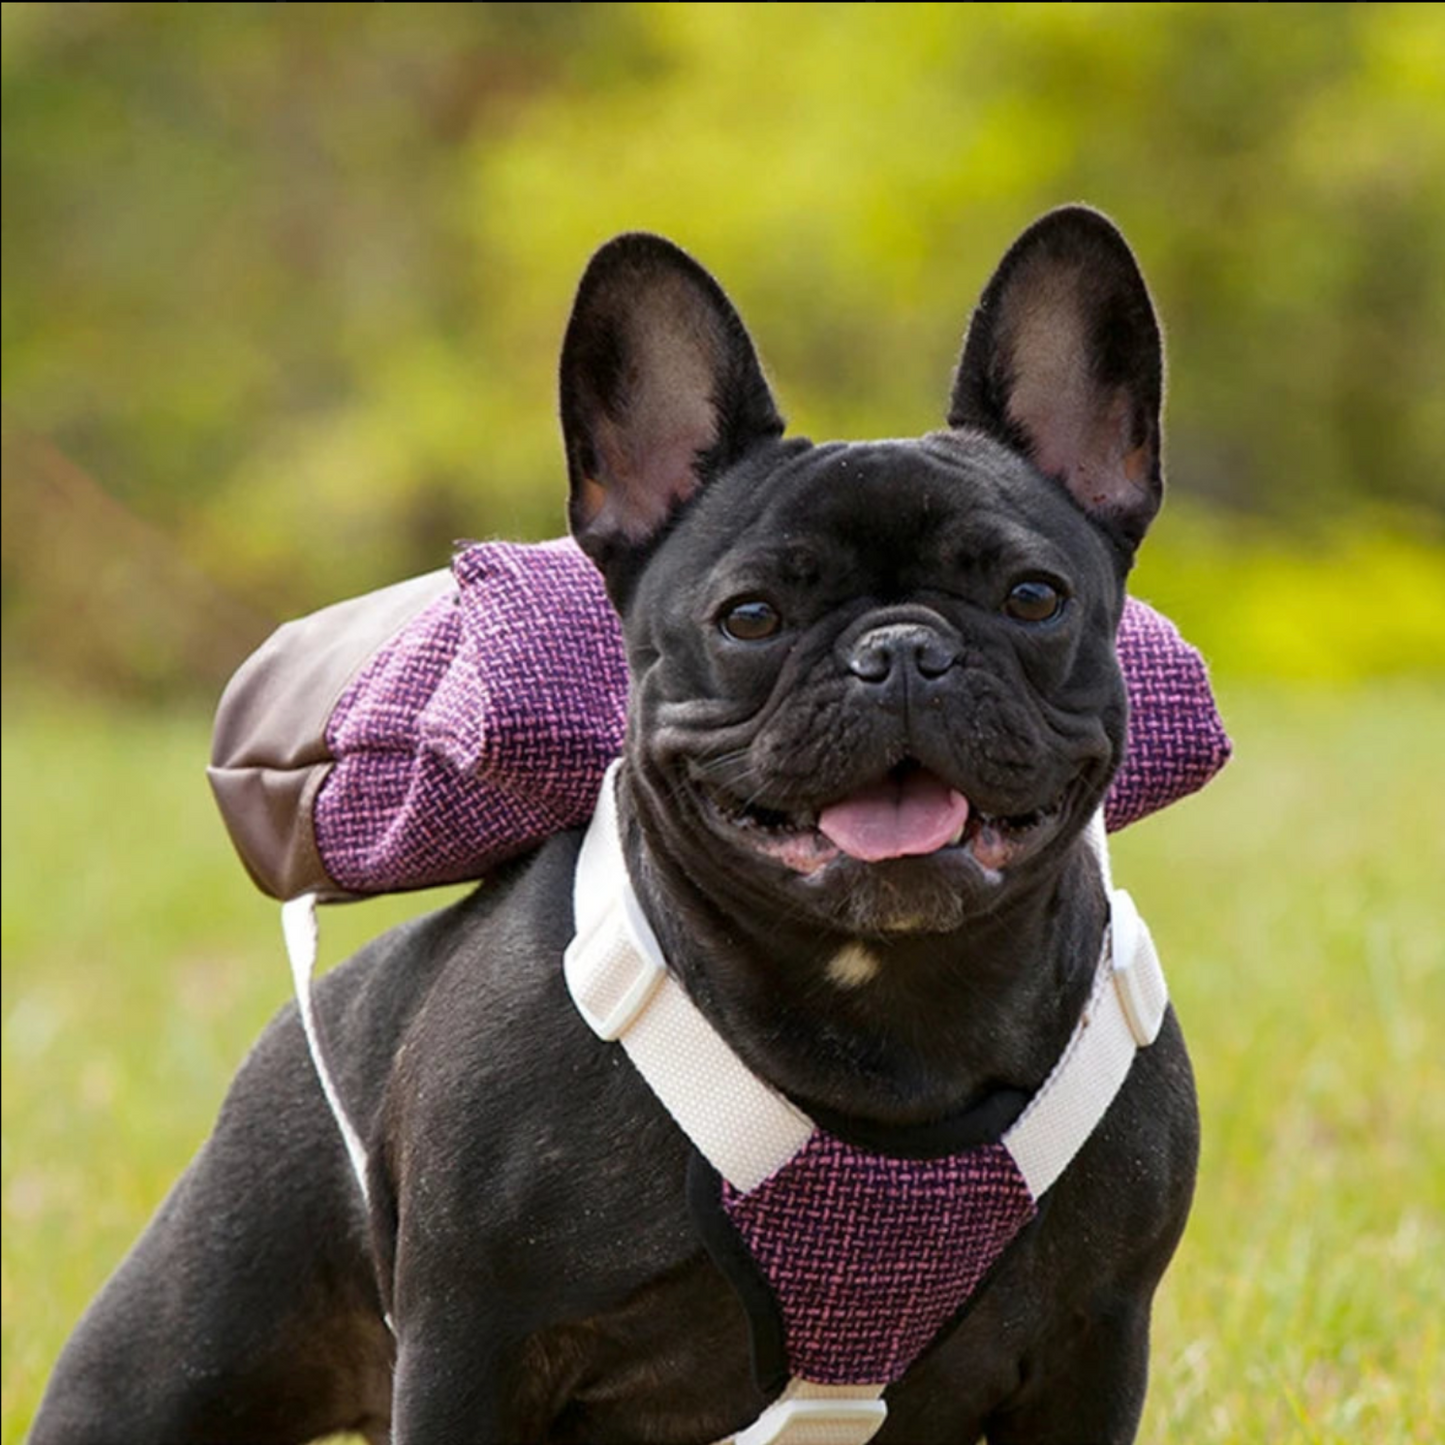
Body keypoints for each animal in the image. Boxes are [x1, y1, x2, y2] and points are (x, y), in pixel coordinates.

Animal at [36, 206, 1208, 1445]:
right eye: (750, 616)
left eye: (1033, 597)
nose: (898, 648)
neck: (888, 1004)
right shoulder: (473, 1344)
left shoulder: (1089, 1337)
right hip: (179, 1350)